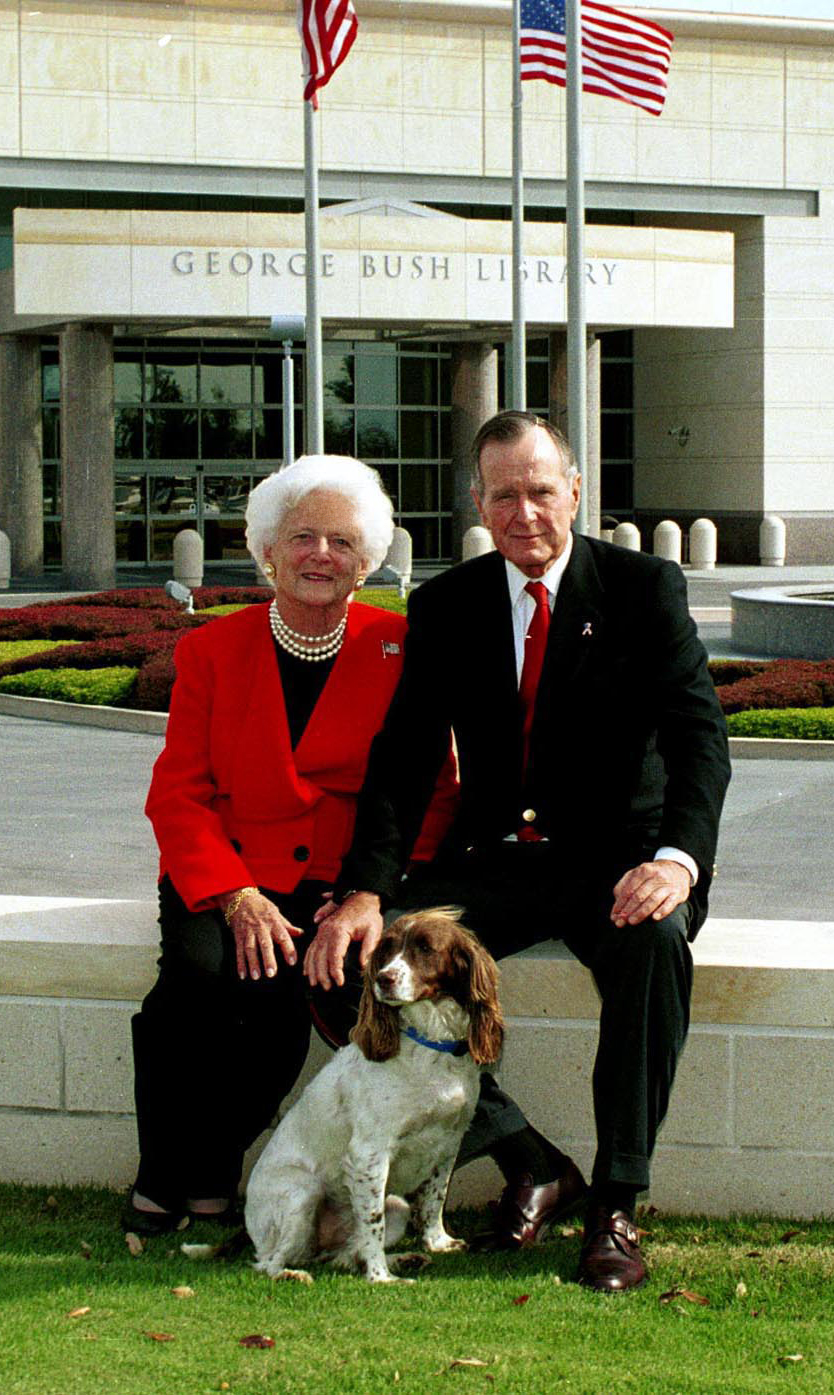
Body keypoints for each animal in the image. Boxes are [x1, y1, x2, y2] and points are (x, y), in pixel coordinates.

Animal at [241, 903, 502, 1283]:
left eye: (426, 948)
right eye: (388, 949)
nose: (384, 979)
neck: (431, 1047)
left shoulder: (449, 1143)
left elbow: (435, 1198)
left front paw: (437, 1243)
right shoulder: (369, 1153)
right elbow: (372, 1225)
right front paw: (381, 1278)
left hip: (397, 1205)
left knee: (343, 1257)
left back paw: (404, 1257)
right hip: (302, 1193)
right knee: (267, 1262)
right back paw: (293, 1274)